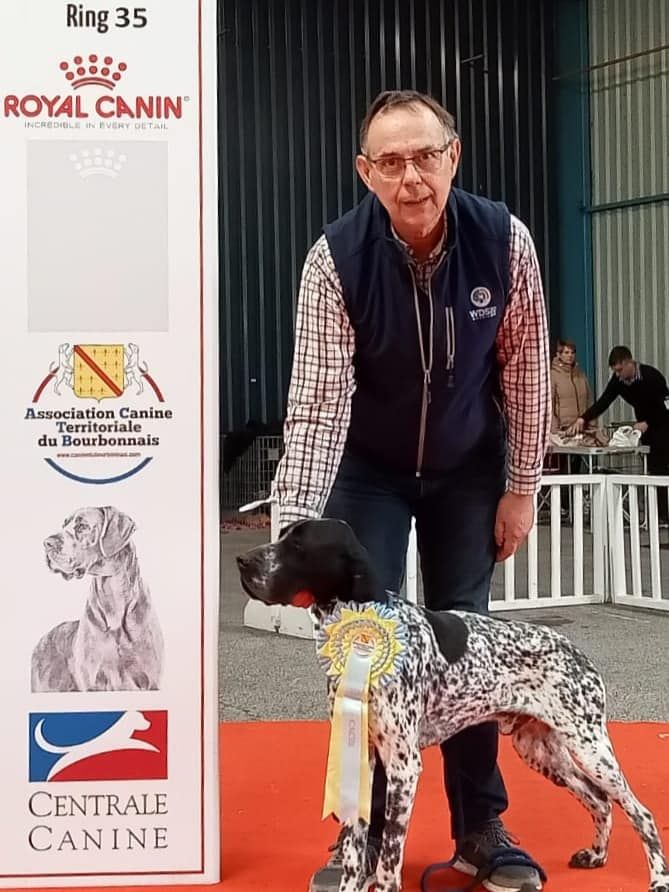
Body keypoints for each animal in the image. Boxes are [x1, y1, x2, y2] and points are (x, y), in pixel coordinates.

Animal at [32, 506, 164, 692]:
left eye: (82, 526)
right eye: (64, 525)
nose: (47, 543)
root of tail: (44, 637)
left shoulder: (152, 683)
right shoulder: (93, 683)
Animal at [237, 518, 669, 892]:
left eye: (299, 546)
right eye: (283, 536)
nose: (243, 561)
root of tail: (580, 654)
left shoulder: (404, 766)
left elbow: (389, 857)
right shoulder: (363, 756)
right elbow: (355, 853)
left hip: (590, 747)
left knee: (639, 812)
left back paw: (657, 877)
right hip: (542, 750)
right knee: (599, 800)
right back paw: (596, 855)